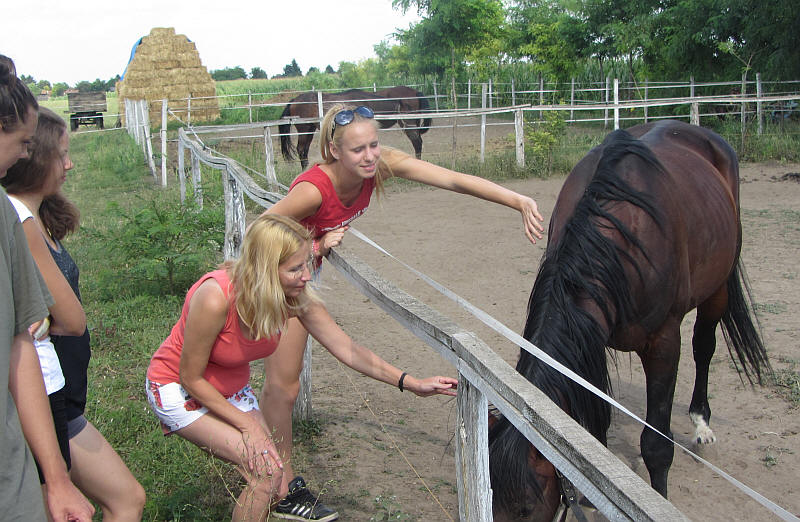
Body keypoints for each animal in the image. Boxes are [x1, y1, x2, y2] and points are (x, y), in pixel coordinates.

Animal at [278, 87, 431, 169]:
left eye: (414, 115)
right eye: (406, 116)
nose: (413, 130)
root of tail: (294, 100)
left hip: (309, 130)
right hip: (304, 130)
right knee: (301, 150)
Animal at [488, 120, 771, 521]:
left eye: (526, 507)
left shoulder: (664, 345)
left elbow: (656, 445)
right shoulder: (592, 339)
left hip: (717, 289)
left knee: (704, 346)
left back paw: (701, 423)